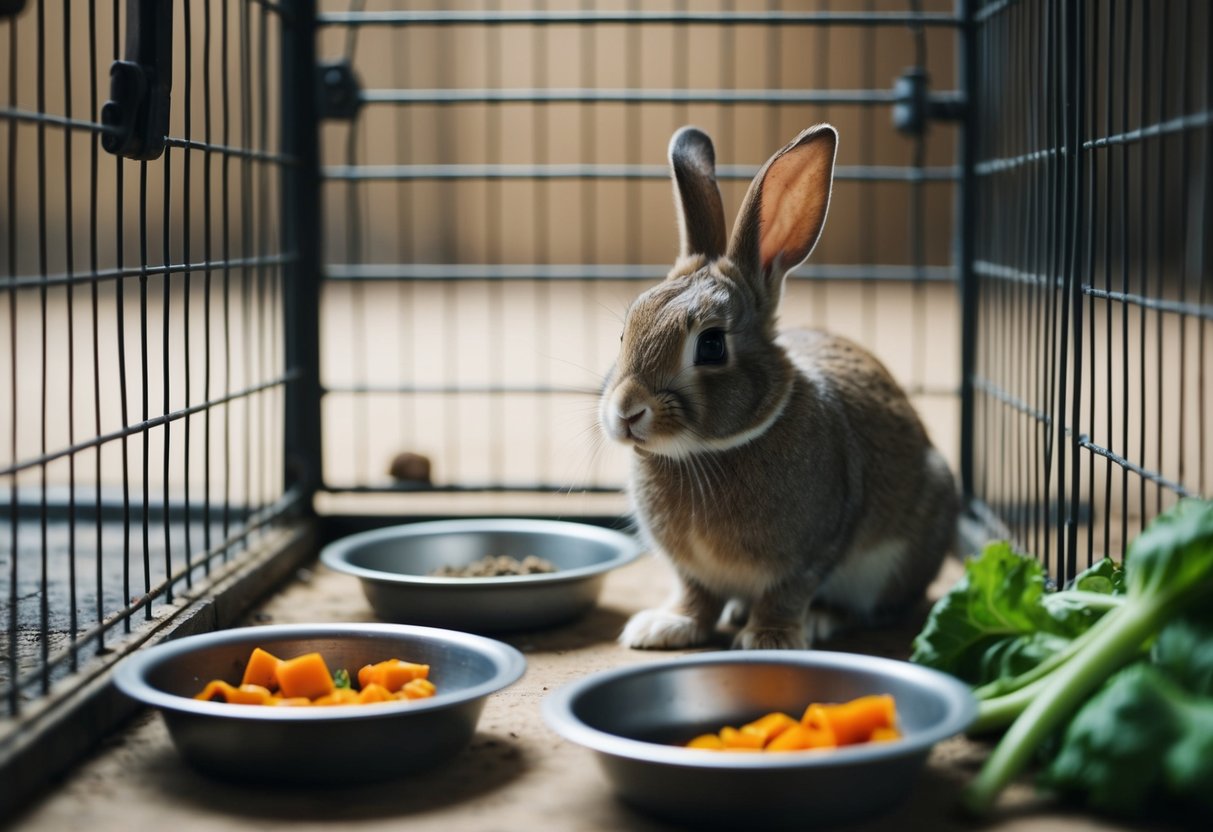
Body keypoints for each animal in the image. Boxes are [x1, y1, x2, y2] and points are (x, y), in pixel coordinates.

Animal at [601, 124, 959, 651]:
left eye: (711, 346)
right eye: (626, 332)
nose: (627, 411)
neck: (706, 451)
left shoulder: (812, 551)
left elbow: (787, 592)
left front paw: (769, 639)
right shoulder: (691, 571)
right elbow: (695, 595)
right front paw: (665, 628)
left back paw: (821, 619)